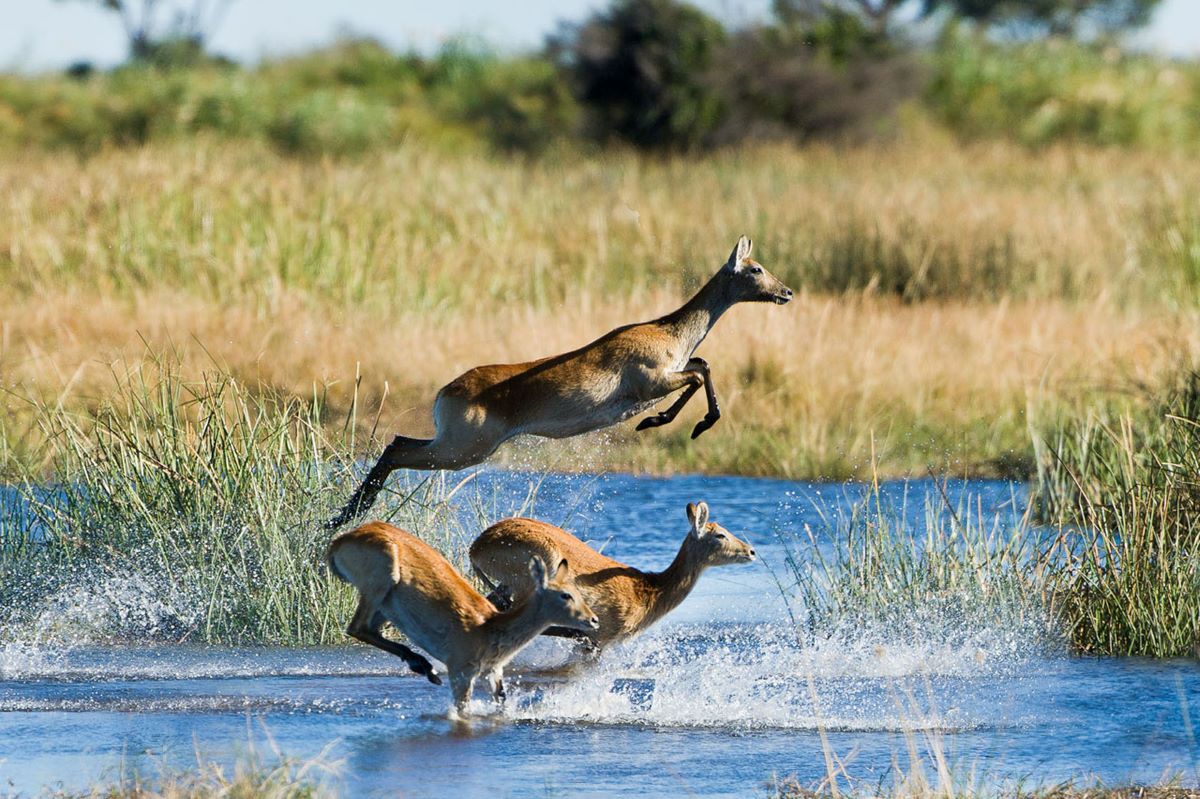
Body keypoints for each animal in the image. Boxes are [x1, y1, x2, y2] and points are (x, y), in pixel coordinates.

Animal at [324, 233, 792, 525]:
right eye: (755, 268)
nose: (786, 292)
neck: (669, 331)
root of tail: (445, 391)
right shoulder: (653, 383)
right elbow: (697, 375)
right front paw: (667, 423)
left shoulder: (673, 372)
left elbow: (703, 364)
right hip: (462, 449)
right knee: (396, 448)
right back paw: (345, 515)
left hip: (457, 446)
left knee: (397, 442)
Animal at [326, 520, 597, 710]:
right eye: (565, 595)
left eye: (577, 592)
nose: (593, 620)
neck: (490, 628)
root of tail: (338, 542)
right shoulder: (461, 673)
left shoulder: (492, 673)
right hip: (381, 583)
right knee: (357, 627)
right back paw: (425, 667)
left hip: (386, 605)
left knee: (369, 630)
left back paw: (424, 667)